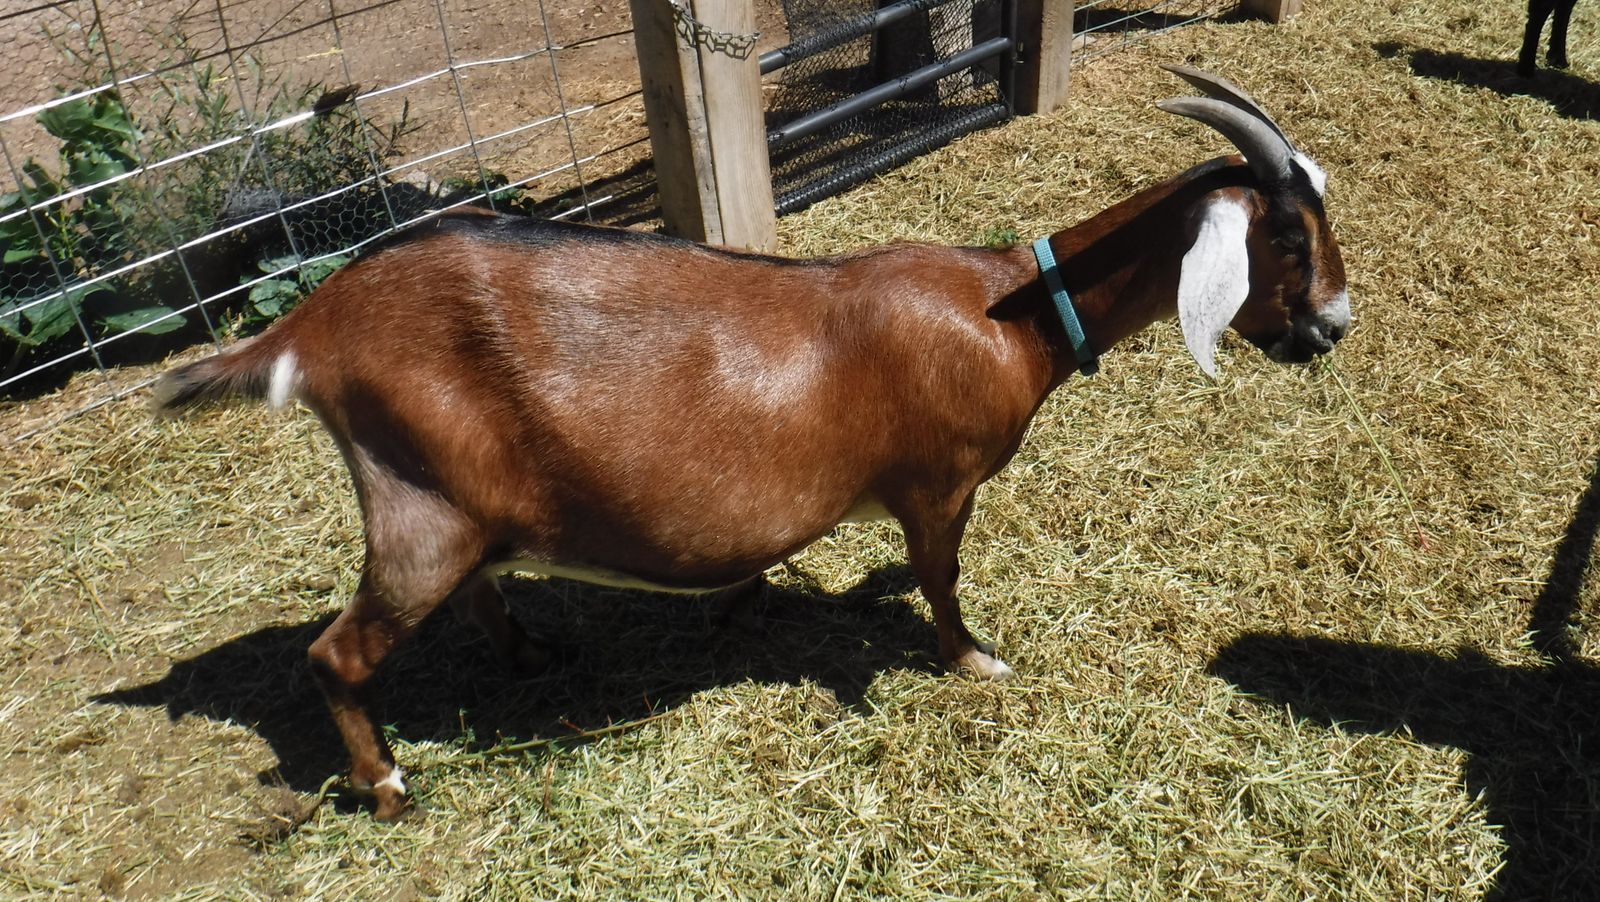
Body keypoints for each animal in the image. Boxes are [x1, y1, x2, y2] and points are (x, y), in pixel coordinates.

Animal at [153, 67, 1349, 820]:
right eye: (1287, 237)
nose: (1334, 326)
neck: (1013, 312)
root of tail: (313, 325)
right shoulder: (939, 482)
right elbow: (942, 578)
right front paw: (974, 659)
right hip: (419, 508)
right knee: (336, 654)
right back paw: (391, 787)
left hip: (451, 502)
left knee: (475, 588)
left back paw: (532, 654)